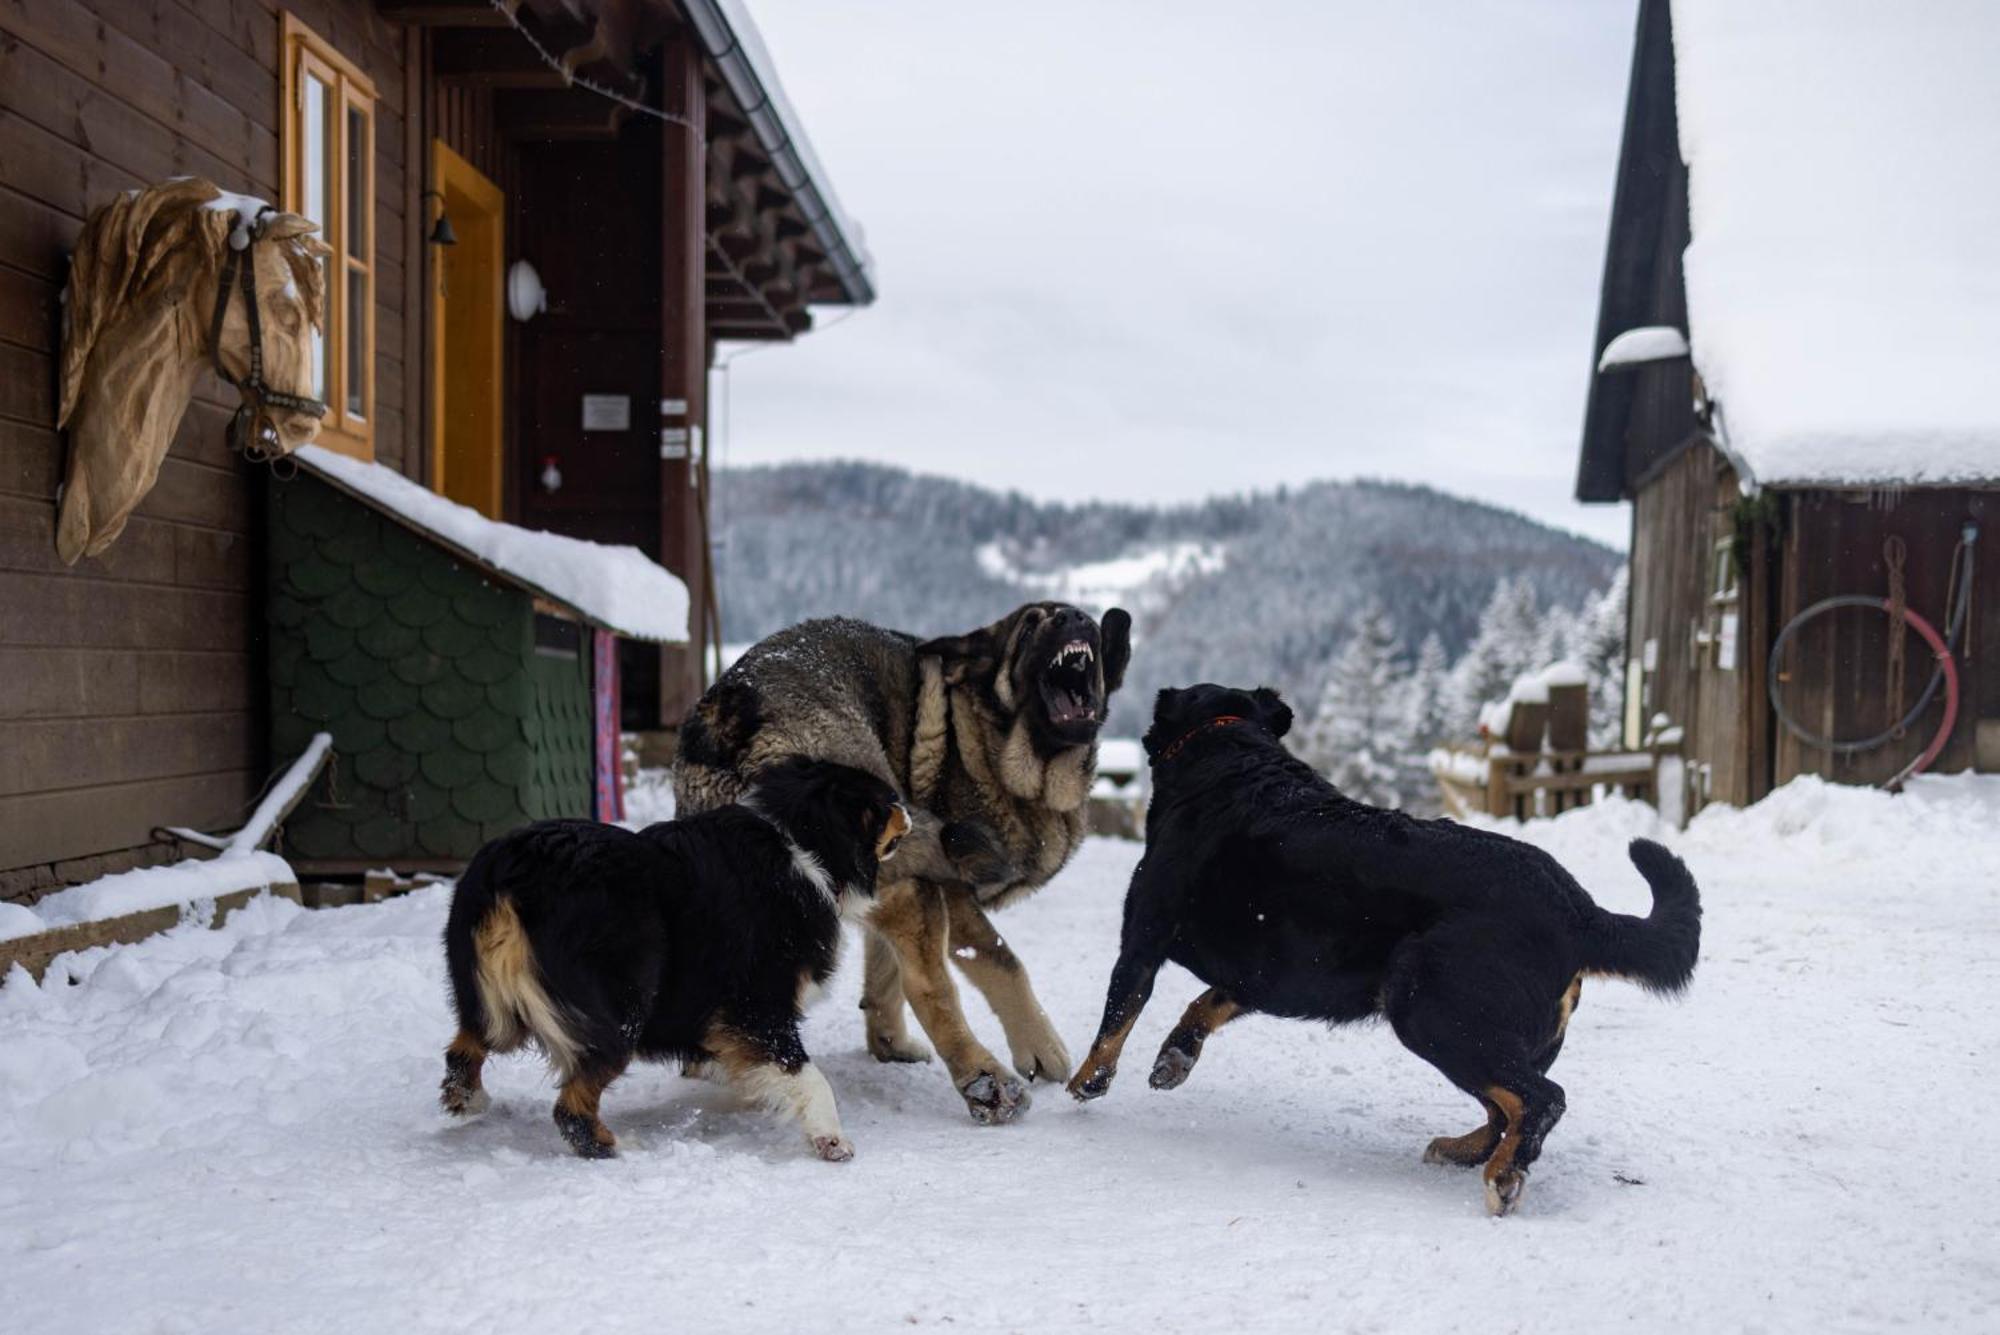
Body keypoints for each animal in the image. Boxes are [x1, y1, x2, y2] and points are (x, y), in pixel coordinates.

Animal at [440, 755, 916, 1159]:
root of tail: (512, 873)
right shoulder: (758, 1003)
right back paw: (618, 1146)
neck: (802, 842)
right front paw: (830, 1138)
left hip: (486, 997)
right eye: (886, 802)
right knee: (571, 1108)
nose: (911, 811)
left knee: (465, 1048)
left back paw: (469, 1099)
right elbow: (805, 1074)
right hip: (621, 1008)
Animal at [680, 603, 1136, 1127]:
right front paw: (1040, 1048)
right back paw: (986, 1082)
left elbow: (883, 971)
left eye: (1085, 621)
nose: (1075, 617)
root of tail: (732, 712)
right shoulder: (952, 895)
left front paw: (888, 1044)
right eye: (1029, 626)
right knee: (931, 989)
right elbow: (1000, 960)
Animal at [1072, 683, 1696, 1215]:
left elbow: (1114, 1022)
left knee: (1540, 1099)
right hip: (1499, 1030)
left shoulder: (1143, 940)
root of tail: (1577, 908)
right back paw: (1465, 1151)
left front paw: (1084, 1083)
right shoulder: (1259, 974)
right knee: (1505, 1106)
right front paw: (1174, 1058)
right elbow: (1203, 1006)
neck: (1232, 754)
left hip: (1432, 1010)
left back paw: (1502, 1177)